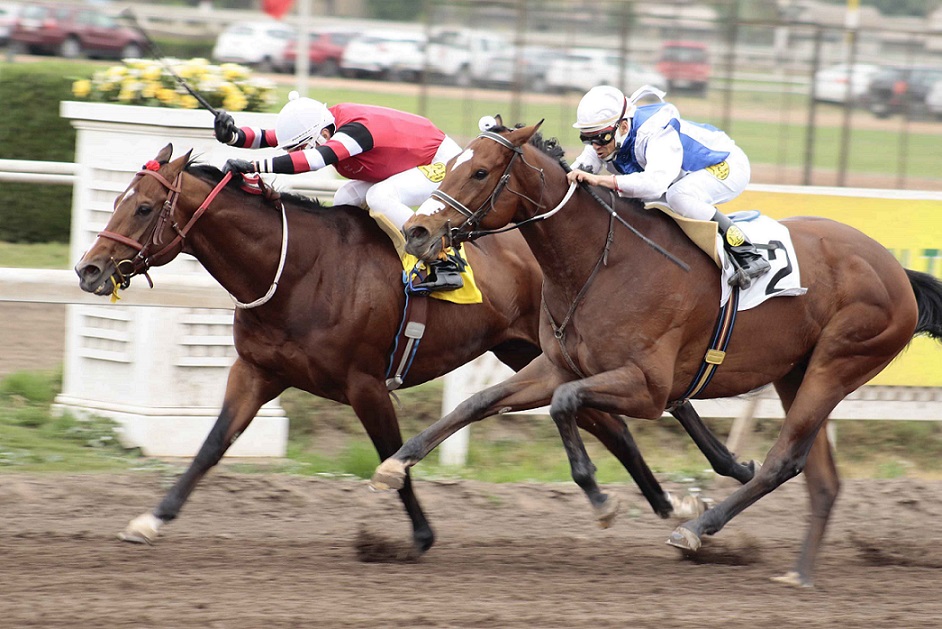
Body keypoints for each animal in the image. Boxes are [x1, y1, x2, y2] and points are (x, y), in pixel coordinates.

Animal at [73, 143, 755, 552]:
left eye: (141, 208)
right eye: (118, 200)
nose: (87, 269)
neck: (296, 268)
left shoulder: (365, 384)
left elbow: (388, 452)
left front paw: (421, 534)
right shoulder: (256, 372)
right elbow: (211, 446)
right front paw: (152, 518)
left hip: (543, 352)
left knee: (620, 414)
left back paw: (702, 485)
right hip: (532, 355)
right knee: (609, 423)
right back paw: (671, 502)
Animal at [371, 122, 942, 586]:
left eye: (481, 171)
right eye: (452, 164)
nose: (418, 232)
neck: (604, 262)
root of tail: (896, 273)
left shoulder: (647, 387)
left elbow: (564, 404)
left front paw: (601, 498)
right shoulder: (558, 364)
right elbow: (478, 402)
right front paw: (395, 464)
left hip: (837, 364)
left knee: (783, 461)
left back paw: (698, 528)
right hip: (795, 372)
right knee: (820, 478)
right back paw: (798, 573)